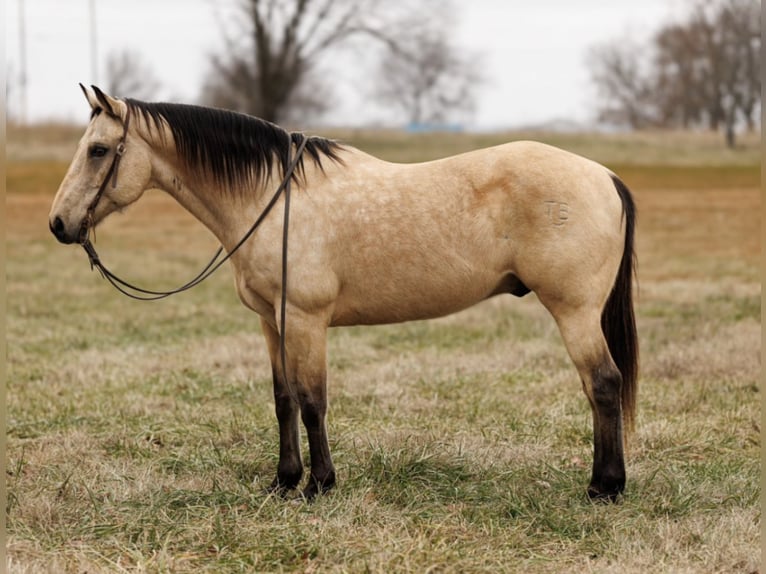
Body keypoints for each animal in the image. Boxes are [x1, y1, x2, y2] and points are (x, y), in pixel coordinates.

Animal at [49, 85, 638, 502]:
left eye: (98, 150)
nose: (59, 224)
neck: (270, 196)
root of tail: (605, 176)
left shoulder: (305, 319)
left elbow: (313, 400)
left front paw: (319, 485)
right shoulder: (271, 321)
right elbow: (283, 399)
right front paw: (284, 481)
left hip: (574, 311)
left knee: (603, 384)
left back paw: (604, 487)